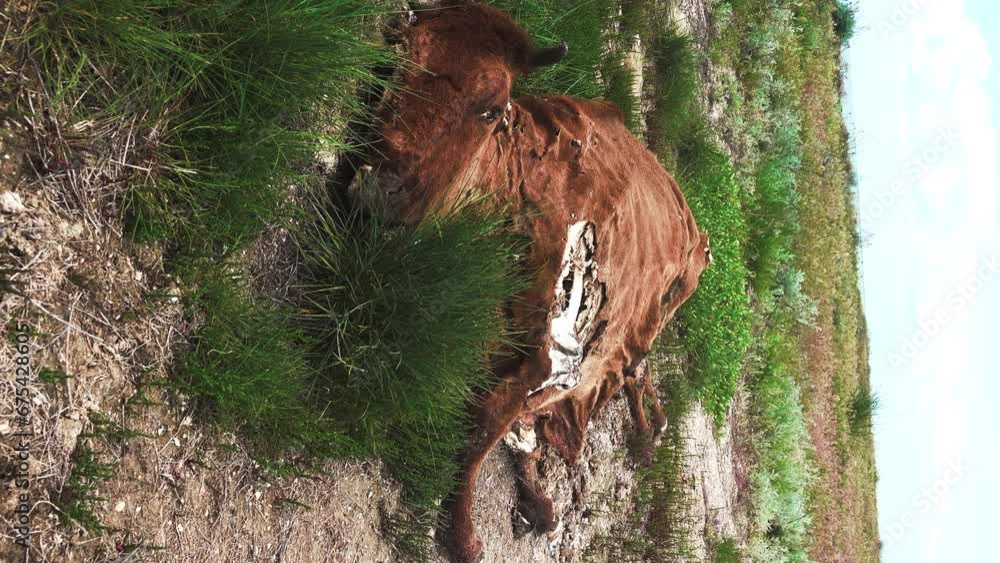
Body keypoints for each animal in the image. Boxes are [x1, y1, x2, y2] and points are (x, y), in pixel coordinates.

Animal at [351, 2, 712, 561]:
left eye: (491, 108)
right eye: (401, 50)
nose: (380, 192)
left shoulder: (549, 350)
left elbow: (483, 419)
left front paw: (464, 532)